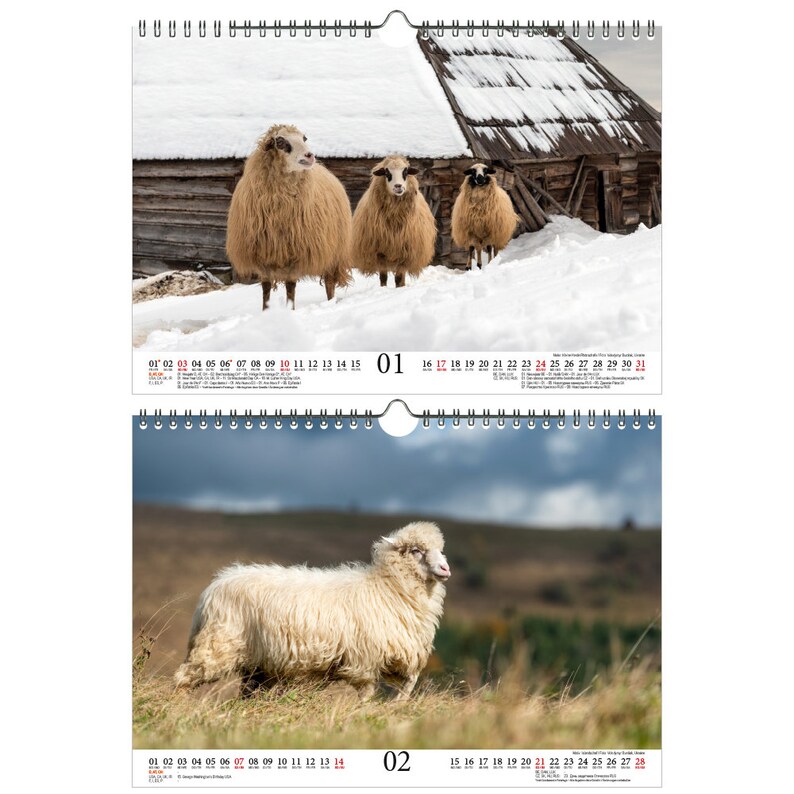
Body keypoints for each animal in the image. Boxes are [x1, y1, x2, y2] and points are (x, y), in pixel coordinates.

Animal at [173, 521, 451, 700]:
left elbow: (408, 685)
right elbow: (367, 694)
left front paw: (395, 708)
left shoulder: (400, 656)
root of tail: (214, 586)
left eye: (441, 550)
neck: (387, 588)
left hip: (258, 665)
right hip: (218, 646)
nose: (445, 568)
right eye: (416, 550)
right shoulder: (367, 659)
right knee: (184, 678)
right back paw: (179, 709)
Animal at [226, 124, 353, 310]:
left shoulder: (296, 252)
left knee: (330, 283)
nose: (310, 156)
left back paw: (330, 303)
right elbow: (265, 288)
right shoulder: (262, 254)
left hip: (334, 252)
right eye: (280, 141)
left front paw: (290, 310)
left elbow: (291, 286)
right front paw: (266, 311)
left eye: (304, 138)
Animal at [352, 155, 437, 287]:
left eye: (405, 172)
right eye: (387, 173)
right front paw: (383, 288)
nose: (398, 186)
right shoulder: (379, 252)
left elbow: (399, 278)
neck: (394, 219)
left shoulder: (405, 251)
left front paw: (399, 288)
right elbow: (383, 277)